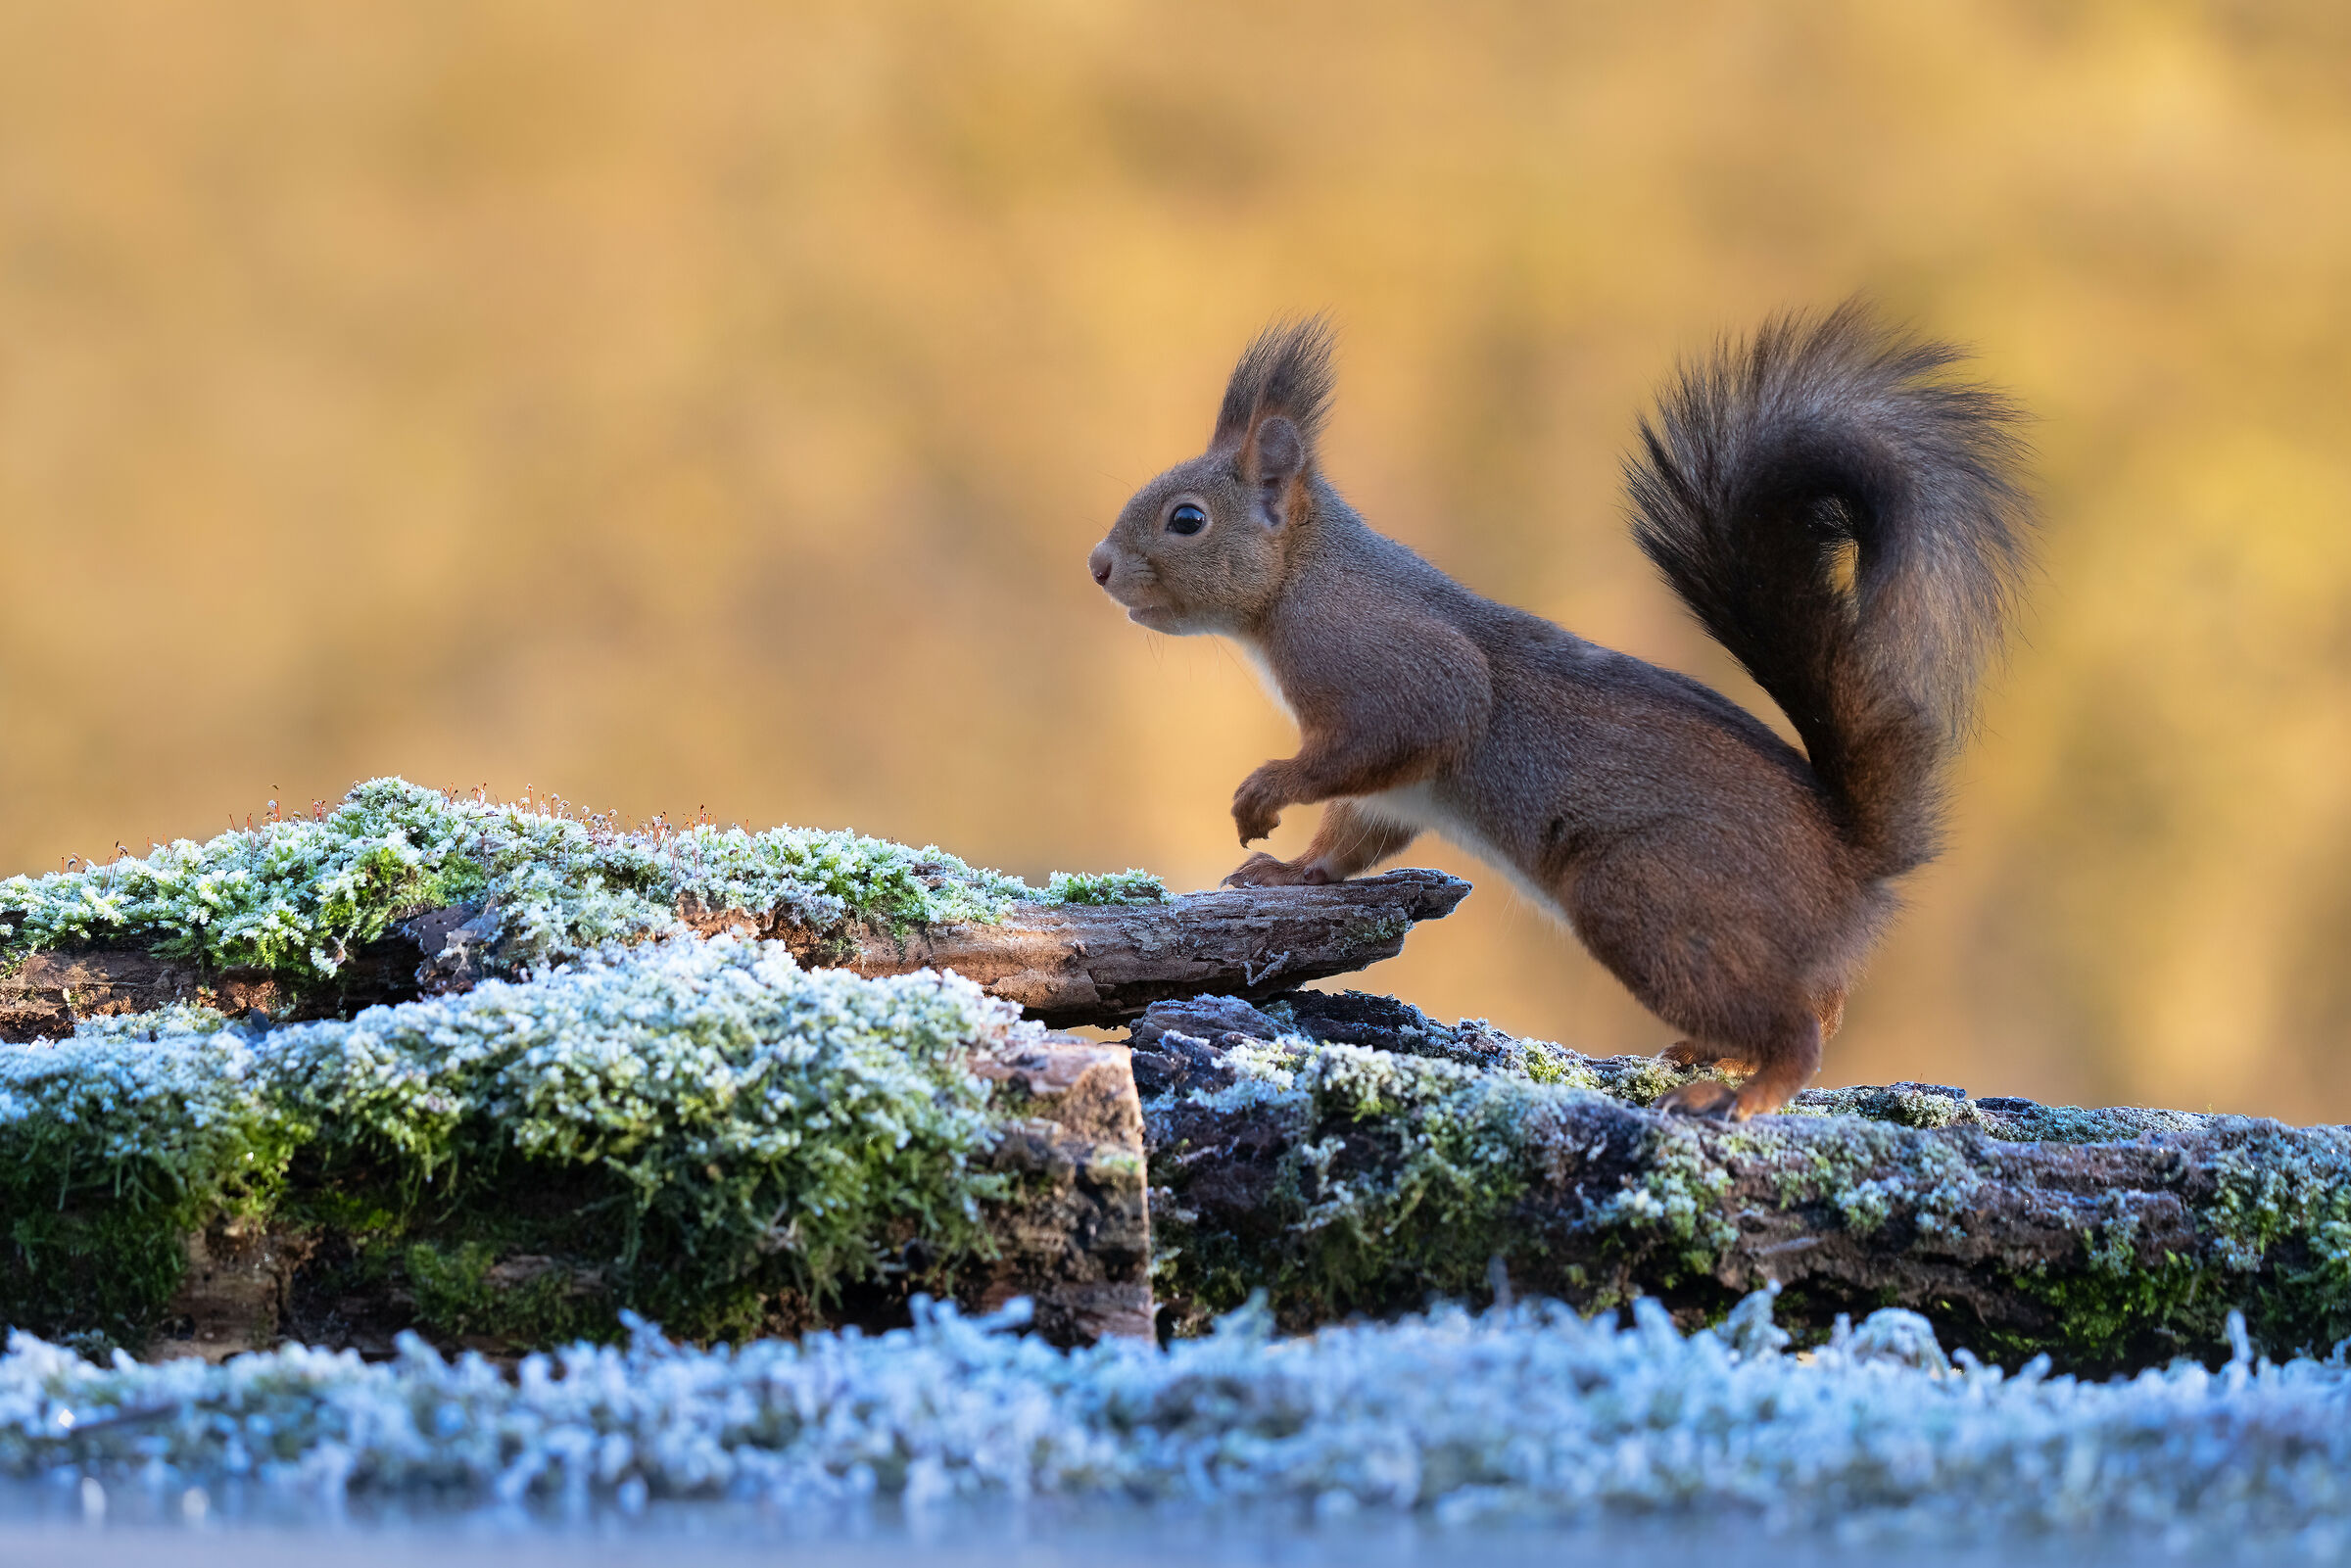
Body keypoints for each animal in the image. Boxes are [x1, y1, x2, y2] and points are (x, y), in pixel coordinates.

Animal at [1086, 302, 2031, 1119]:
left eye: (1186, 520)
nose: (1097, 565)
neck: (1302, 579)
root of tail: (1854, 861)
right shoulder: (1393, 790)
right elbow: (1350, 837)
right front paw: (1290, 871)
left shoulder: (1397, 674)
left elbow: (1401, 731)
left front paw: (1265, 793)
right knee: (1817, 1007)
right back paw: (1716, 1054)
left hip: (1648, 896)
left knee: (1798, 1029)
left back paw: (1747, 1091)